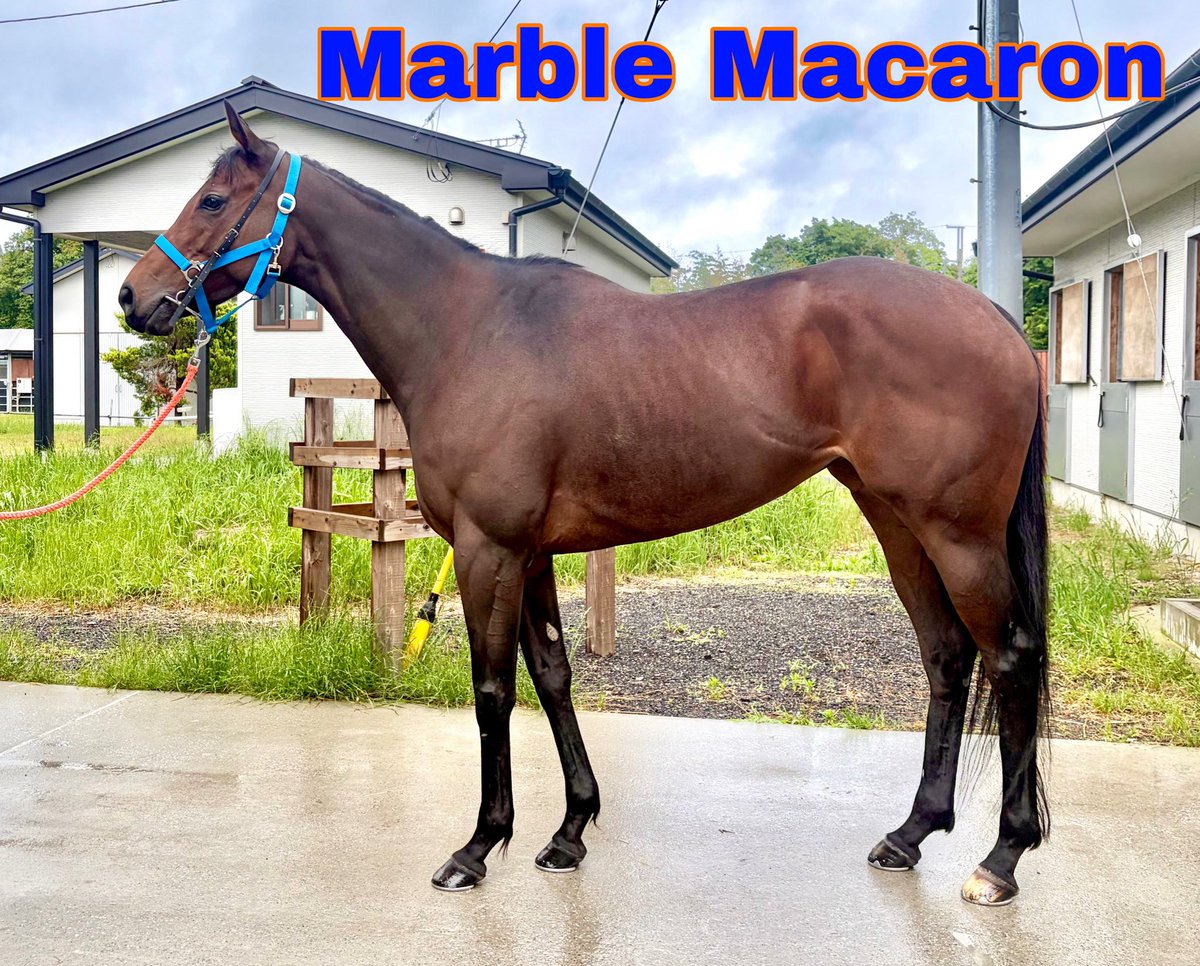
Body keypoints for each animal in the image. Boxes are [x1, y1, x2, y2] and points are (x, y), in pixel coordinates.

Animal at [120, 105, 1050, 907]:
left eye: (212, 200)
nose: (133, 296)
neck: (467, 331)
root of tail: (997, 321)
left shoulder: (489, 548)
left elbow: (493, 688)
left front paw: (476, 847)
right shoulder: (529, 553)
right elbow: (554, 676)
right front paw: (569, 831)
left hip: (958, 535)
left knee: (1007, 657)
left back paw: (1001, 858)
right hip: (898, 525)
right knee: (946, 657)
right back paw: (911, 834)